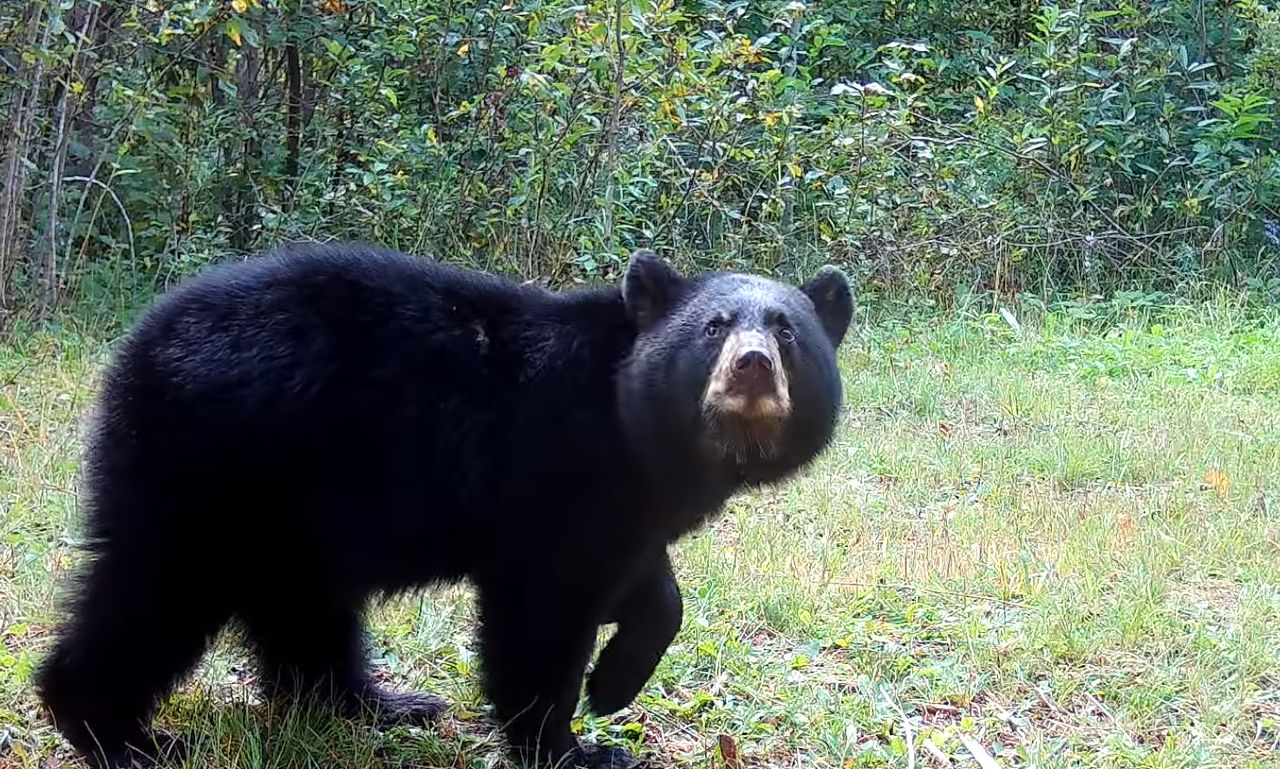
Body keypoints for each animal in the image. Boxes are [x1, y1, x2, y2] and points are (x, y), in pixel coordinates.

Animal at [35, 244, 855, 767]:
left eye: (787, 330)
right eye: (714, 327)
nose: (752, 367)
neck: (636, 426)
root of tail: (135, 346)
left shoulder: (626, 499)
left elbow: (645, 583)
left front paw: (614, 682)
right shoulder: (558, 467)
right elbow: (542, 610)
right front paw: (571, 747)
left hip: (293, 507)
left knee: (304, 609)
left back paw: (375, 702)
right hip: (212, 464)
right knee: (157, 593)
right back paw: (118, 734)